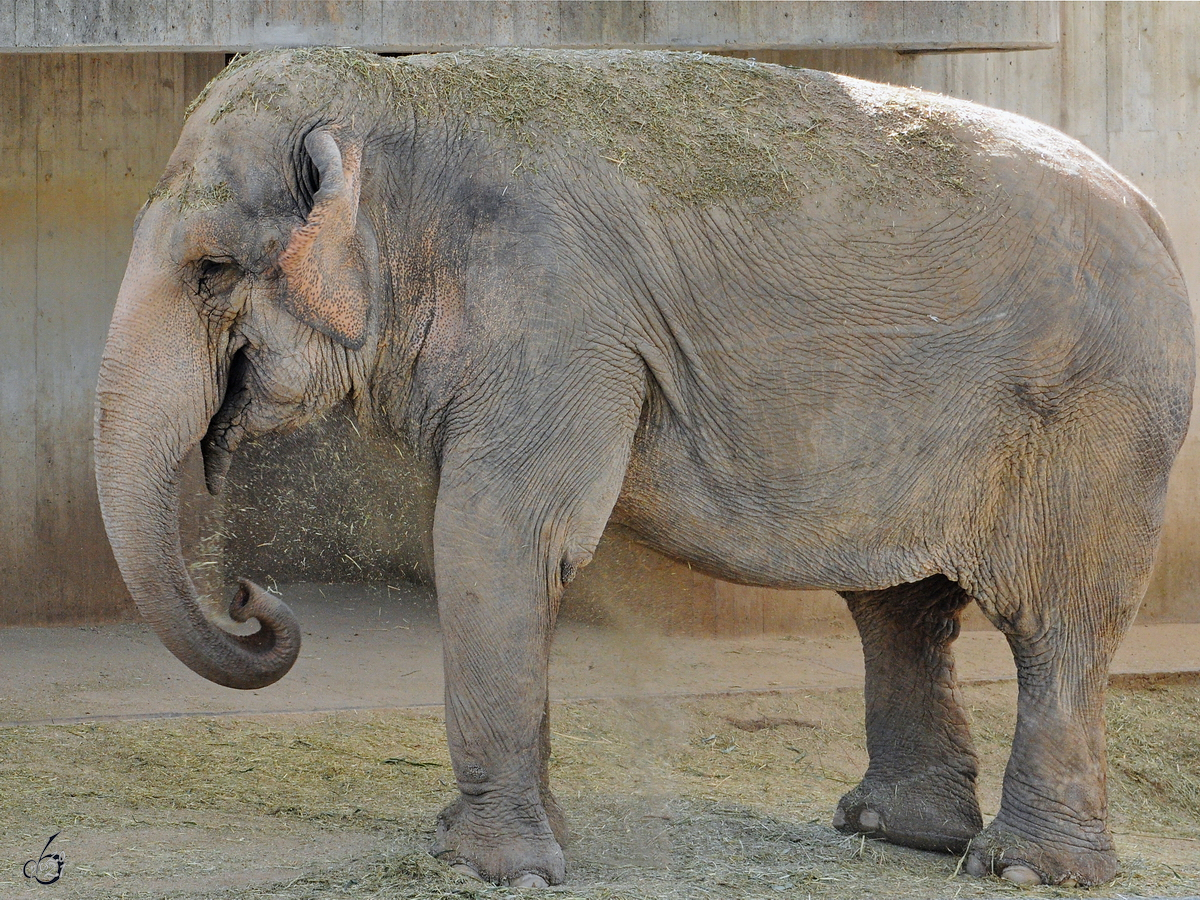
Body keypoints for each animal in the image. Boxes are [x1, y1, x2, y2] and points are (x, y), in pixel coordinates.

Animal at [93, 47, 1190, 888]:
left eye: (210, 271)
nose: (249, 594)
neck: (401, 93)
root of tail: (1156, 214)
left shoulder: (558, 316)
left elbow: (499, 535)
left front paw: (495, 869)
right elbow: (507, 548)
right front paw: (504, 847)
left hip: (1097, 423)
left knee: (1058, 623)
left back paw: (1023, 869)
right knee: (900, 610)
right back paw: (897, 833)